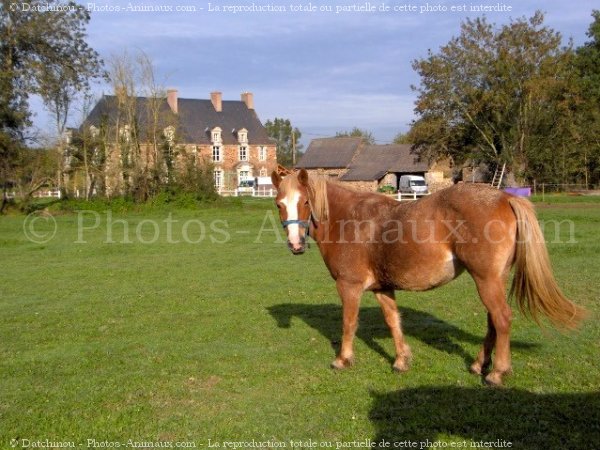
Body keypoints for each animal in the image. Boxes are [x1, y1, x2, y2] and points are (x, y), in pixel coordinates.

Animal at [274, 170, 584, 386]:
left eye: (305, 201)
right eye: (279, 204)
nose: (295, 244)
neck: (349, 220)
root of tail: (506, 197)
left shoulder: (349, 286)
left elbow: (349, 323)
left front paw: (343, 359)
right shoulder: (382, 288)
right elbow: (393, 321)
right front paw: (401, 360)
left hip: (486, 280)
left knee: (502, 318)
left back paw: (496, 373)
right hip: (493, 280)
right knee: (493, 322)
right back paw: (478, 365)